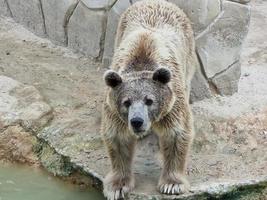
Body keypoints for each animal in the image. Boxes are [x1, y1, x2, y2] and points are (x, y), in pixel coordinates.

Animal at [101, 0, 198, 198]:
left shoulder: (172, 104)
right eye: (126, 102)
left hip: (188, 55)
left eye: (149, 100)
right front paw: (117, 186)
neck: (141, 63)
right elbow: (118, 140)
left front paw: (172, 184)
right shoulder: (115, 111)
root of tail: (156, 1)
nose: (137, 121)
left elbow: (176, 134)